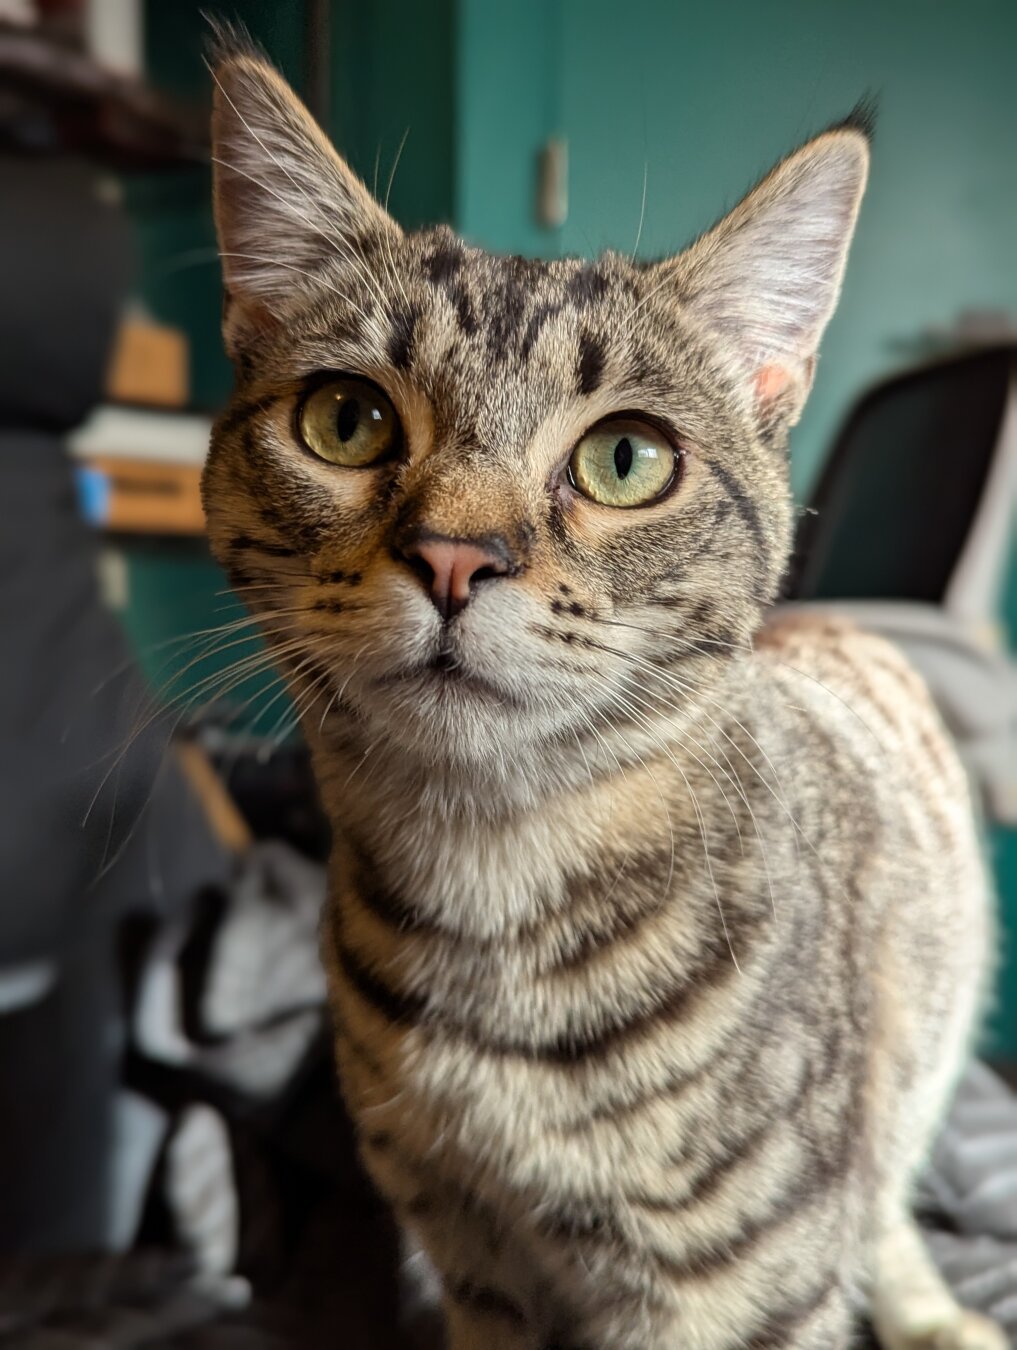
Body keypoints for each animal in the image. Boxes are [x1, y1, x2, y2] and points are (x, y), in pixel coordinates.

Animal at [201, 32, 1005, 1350]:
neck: (492, 887)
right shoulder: (469, 1256)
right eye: (346, 420)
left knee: (884, 1191)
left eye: (625, 459)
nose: (454, 555)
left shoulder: (740, 1279)